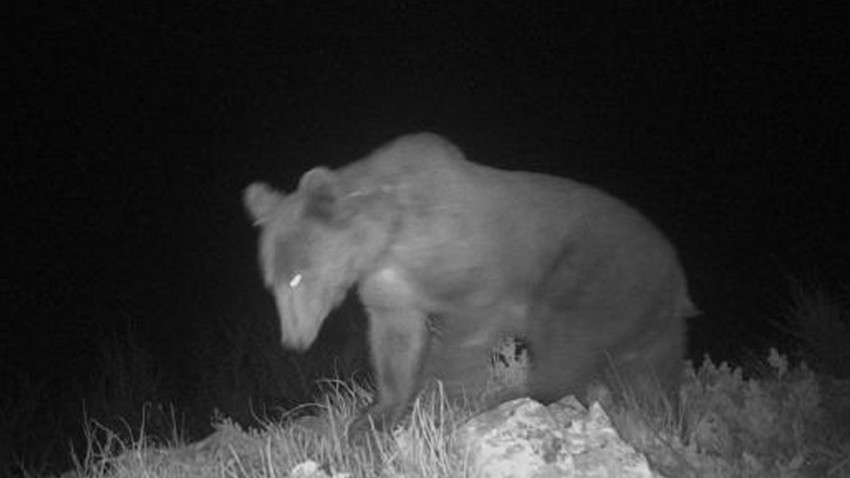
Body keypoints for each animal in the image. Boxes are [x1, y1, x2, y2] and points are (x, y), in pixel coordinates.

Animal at [240, 132, 696, 434]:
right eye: (271, 282)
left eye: (298, 276)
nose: (293, 341)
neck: (389, 236)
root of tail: (676, 273)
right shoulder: (388, 286)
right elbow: (396, 343)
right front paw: (374, 417)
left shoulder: (470, 265)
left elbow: (466, 331)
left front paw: (448, 404)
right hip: (652, 318)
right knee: (654, 375)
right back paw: (667, 421)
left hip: (597, 274)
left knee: (568, 341)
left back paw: (520, 397)